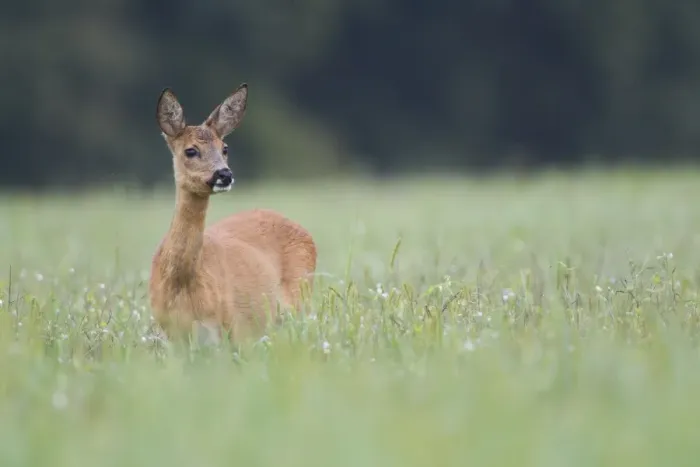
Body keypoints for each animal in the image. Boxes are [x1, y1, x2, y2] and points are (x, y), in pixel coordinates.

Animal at [148, 83, 317, 345]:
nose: (224, 174)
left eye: (224, 148)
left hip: (300, 299)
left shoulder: (230, 328)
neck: (181, 283)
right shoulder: (172, 335)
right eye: (190, 151)